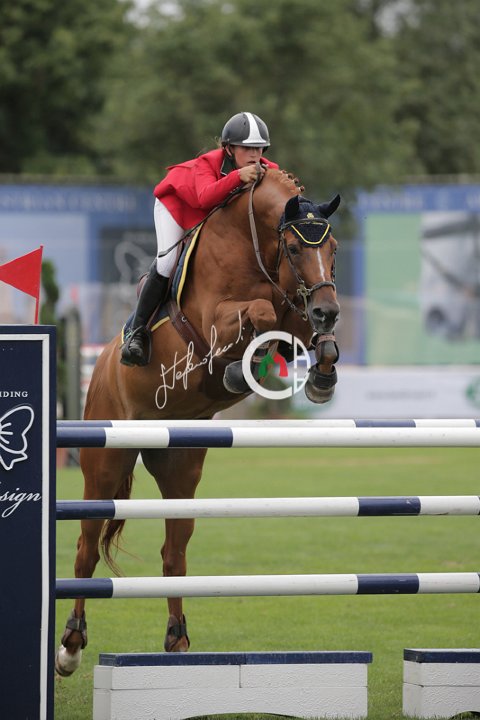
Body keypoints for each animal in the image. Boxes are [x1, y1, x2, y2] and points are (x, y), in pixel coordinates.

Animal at [55, 168, 341, 676]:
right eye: (293, 248)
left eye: (334, 250)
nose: (328, 309)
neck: (253, 242)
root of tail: (102, 364)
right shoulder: (216, 320)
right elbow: (259, 314)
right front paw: (239, 368)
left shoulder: (294, 315)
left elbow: (303, 334)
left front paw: (322, 375)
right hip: (104, 465)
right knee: (86, 550)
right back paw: (70, 647)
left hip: (181, 466)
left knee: (174, 555)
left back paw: (178, 642)